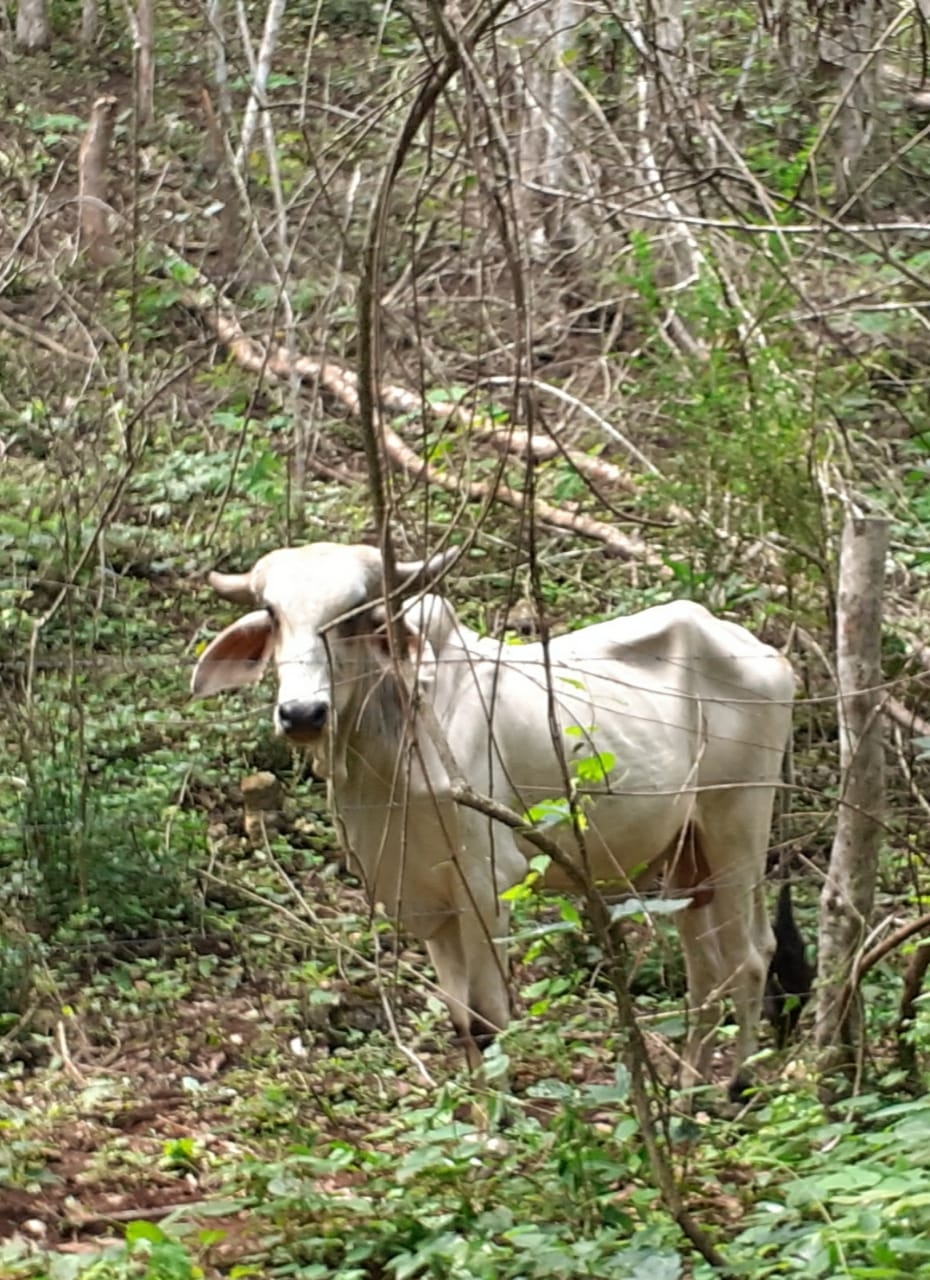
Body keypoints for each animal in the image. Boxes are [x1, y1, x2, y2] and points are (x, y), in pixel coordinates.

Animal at [193, 545, 798, 1095]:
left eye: (354, 618)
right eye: (273, 614)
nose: (302, 714)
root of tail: (766, 654)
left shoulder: (486, 887)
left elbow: (488, 1021)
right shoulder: (427, 903)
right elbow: (463, 1023)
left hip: (738, 827)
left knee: (749, 957)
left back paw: (734, 1088)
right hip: (684, 859)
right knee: (709, 969)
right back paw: (690, 1087)